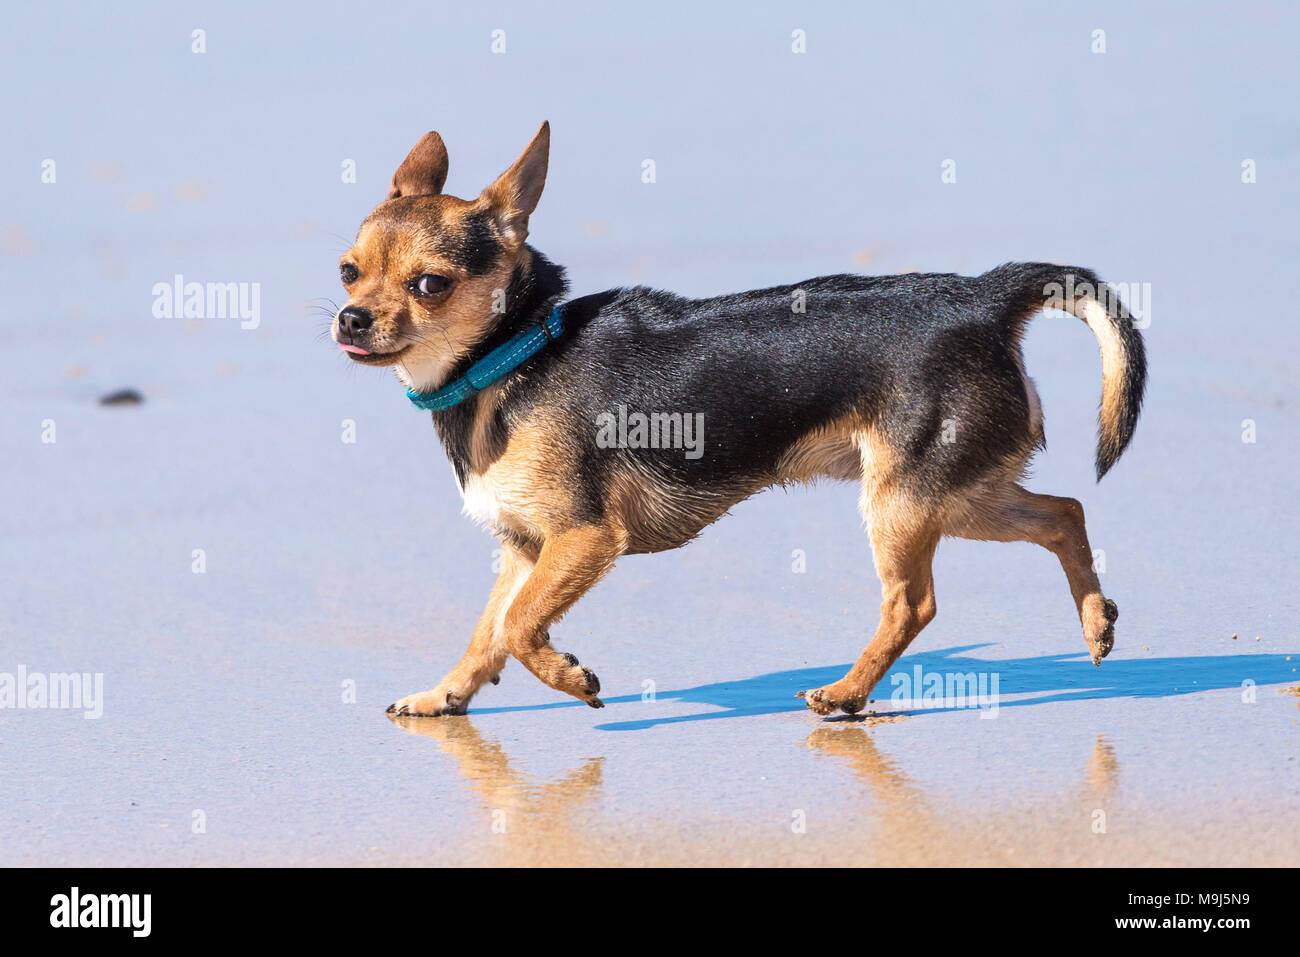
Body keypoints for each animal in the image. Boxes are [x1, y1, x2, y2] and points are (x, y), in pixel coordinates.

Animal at [335, 121, 1149, 717]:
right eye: (348, 271)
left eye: (430, 285)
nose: (349, 317)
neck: (514, 355)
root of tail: (984, 297)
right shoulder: (525, 548)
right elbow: (486, 633)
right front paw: (444, 696)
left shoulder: (584, 538)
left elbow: (517, 624)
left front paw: (570, 678)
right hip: (959, 492)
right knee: (1063, 513)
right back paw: (1095, 622)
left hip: (905, 502)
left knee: (912, 604)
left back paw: (846, 693)